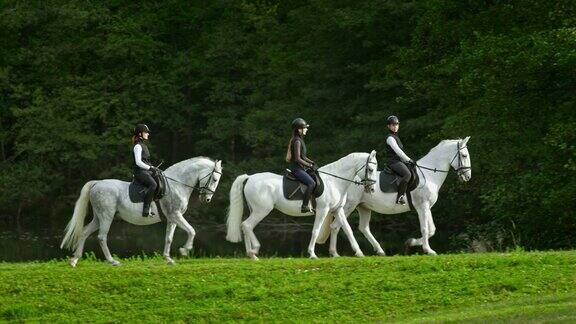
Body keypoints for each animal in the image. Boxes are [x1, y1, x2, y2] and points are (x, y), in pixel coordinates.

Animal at [60, 156, 223, 266]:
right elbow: (192, 230)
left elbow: (169, 238)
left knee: (85, 232)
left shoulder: (172, 218)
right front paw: (185, 250)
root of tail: (96, 184)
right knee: (101, 237)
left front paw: (168, 259)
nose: (207, 199)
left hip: (98, 217)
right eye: (215, 179)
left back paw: (74, 260)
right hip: (106, 216)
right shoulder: (176, 215)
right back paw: (112, 261)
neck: (177, 184)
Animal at [225, 152, 378, 260]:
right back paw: (254, 250)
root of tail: (250, 177)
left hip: (255, 210)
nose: (371, 189)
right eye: (370, 169)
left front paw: (358, 253)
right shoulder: (323, 210)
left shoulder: (337, 209)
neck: (333, 181)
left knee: (245, 226)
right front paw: (312, 254)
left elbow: (347, 229)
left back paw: (251, 254)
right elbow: (316, 230)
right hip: (261, 210)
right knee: (247, 225)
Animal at [326, 137, 470, 256]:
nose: (468, 176)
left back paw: (379, 250)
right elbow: (425, 229)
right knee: (336, 226)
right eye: (464, 155)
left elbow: (432, 230)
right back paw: (337, 253)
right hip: (349, 206)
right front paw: (428, 250)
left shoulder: (427, 207)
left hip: (364, 207)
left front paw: (411, 242)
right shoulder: (422, 207)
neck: (429, 174)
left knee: (363, 228)